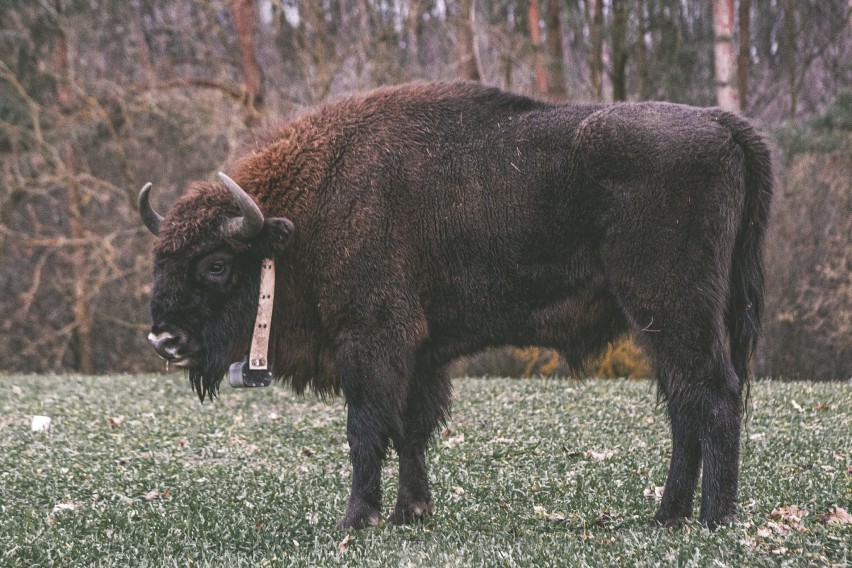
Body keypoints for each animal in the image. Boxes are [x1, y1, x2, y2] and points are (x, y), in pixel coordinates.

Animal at [138, 82, 772, 532]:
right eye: (159, 258)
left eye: (216, 264)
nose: (164, 339)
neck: (302, 217)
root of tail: (720, 122)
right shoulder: (422, 353)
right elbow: (410, 429)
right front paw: (411, 512)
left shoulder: (372, 340)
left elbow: (367, 427)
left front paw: (357, 519)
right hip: (661, 322)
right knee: (684, 404)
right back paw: (668, 517)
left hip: (674, 309)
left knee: (713, 396)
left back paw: (713, 519)